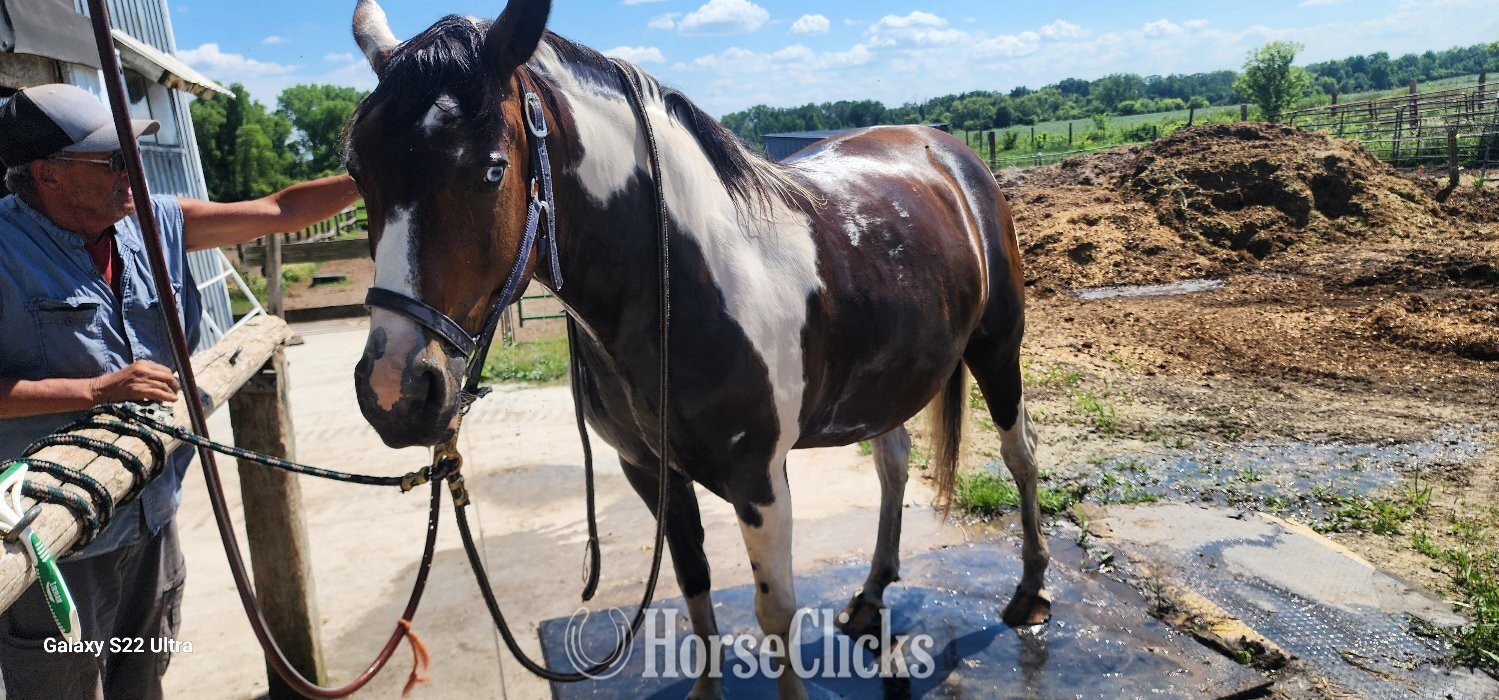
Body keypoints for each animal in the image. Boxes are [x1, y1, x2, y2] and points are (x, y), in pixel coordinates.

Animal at [345, 1, 1047, 696]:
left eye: (493, 169)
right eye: (357, 171)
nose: (394, 390)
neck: (682, 286)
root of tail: (945, 151)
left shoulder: (759, 480)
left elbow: (775, 612)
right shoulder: (648, 471)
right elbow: (693, 586)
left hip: (997, 350)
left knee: (1020, 455)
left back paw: (1031, 594)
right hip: (885, 384)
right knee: (893, 466)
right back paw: (871, 597)